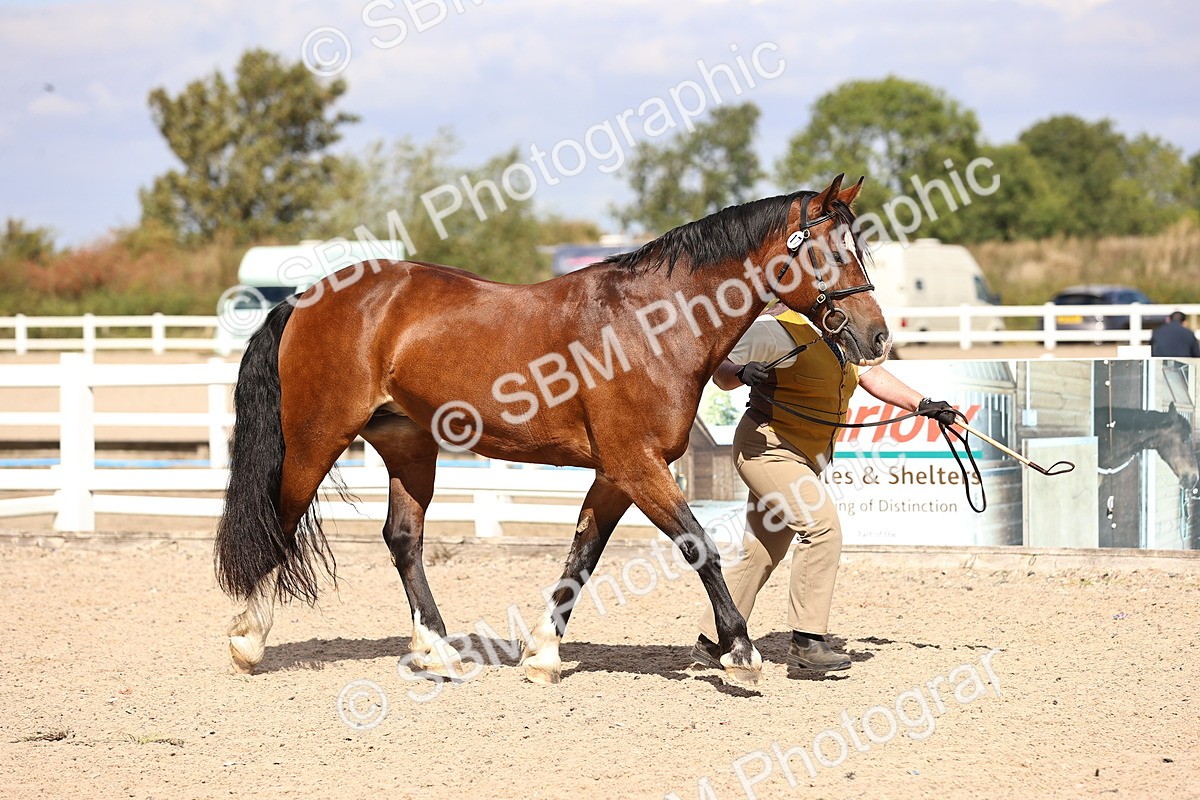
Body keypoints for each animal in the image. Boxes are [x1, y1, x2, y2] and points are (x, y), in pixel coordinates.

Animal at [213, 174, 892, 686]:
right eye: (832, 251)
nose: (877, 336)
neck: (652, 324)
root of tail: (305, 297)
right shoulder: (638, 465)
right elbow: (699, 545)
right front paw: (741, 652)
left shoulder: (617, 474)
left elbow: (582, 557)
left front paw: (541, 654)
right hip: (316, 440)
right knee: (276, 524)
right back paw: (247, 642)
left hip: (407, 445)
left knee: (403, 539)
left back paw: (441, 652)